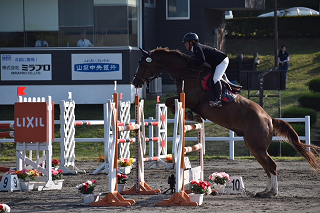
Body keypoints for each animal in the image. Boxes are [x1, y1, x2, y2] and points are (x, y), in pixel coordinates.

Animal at [131, 47, 318, 197]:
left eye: (143, 64)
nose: (135, 82)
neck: (187, 73)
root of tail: (269, 119)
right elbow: (171, 101)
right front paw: (194, 117)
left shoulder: (190, 99)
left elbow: (171, 100)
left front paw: (191, 115)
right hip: (254, 146)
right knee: (267, 166)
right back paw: (265, 191)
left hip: (256, 145)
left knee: (271, 165)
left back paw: (271, 193)